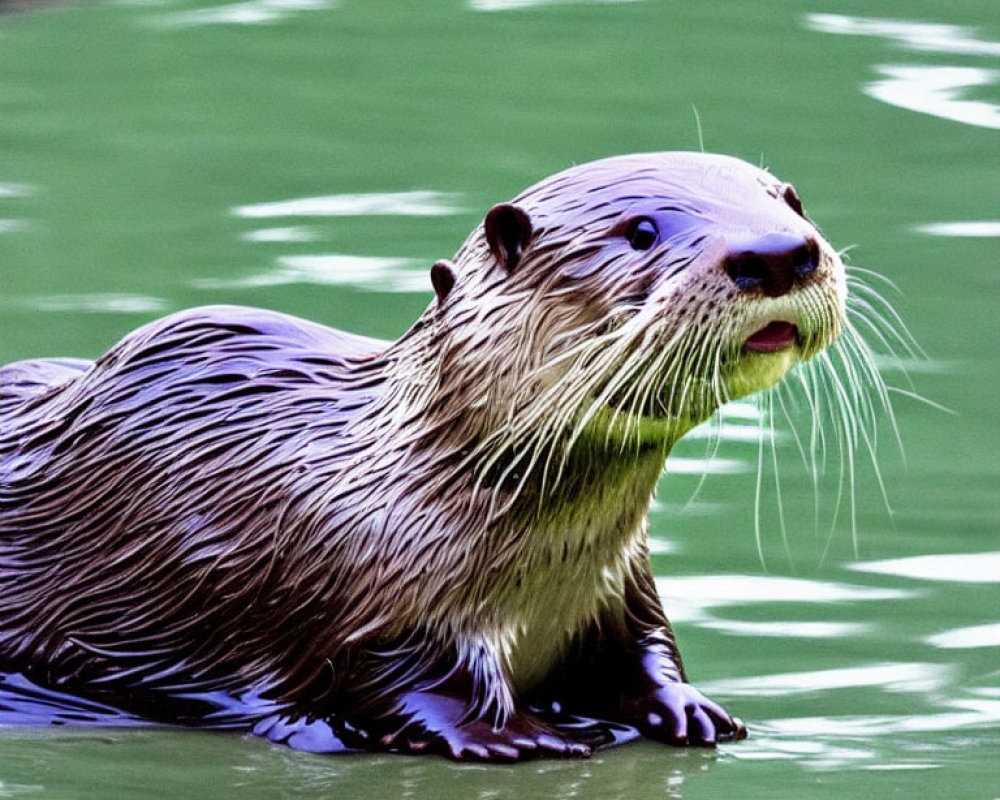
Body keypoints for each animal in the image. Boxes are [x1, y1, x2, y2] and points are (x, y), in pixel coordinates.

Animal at [0, 153, 848, 760]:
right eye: (640, 230)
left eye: (791, 200)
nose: (780, 254)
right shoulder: (358, 584)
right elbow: (387, 671)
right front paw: (505, 733)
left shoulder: (622, 582)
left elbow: (645, 651)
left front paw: (686, 707)